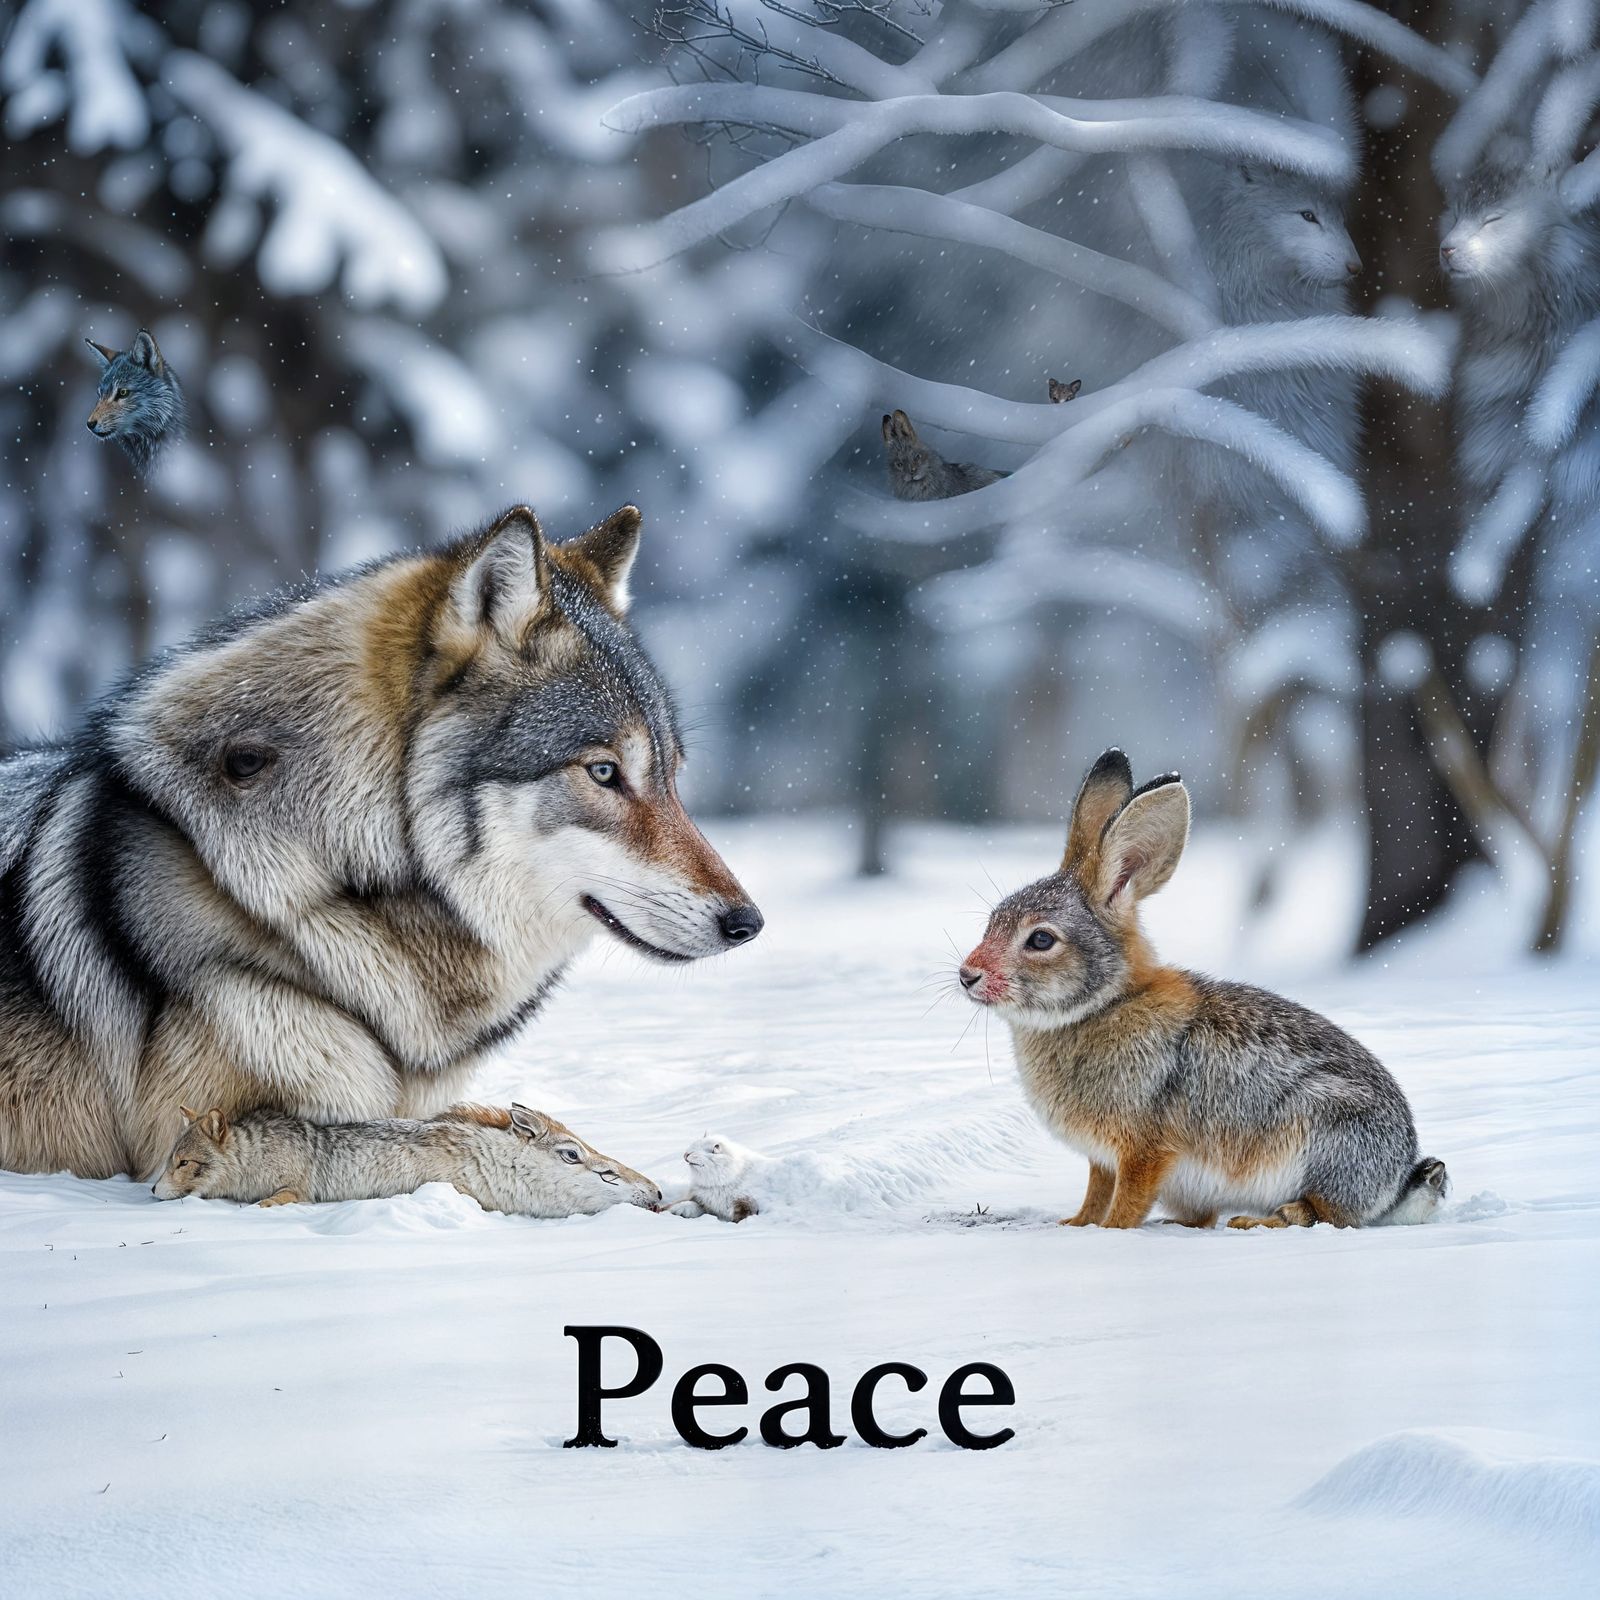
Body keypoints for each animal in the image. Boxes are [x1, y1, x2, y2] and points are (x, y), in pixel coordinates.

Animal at [958, 749, 1448, 1231]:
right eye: (992, 920)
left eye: (1041, 940)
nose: (967, 975)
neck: (1104, 1004)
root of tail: (1396, 1181)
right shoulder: (1103, 1158)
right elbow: (1096, 1191)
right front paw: (1077, 1226)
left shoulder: (1144, 1149)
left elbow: (1128, 1199)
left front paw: (1111, 1232)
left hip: (1323, 1136)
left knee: (1326, 1215)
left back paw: (1260, 1222)